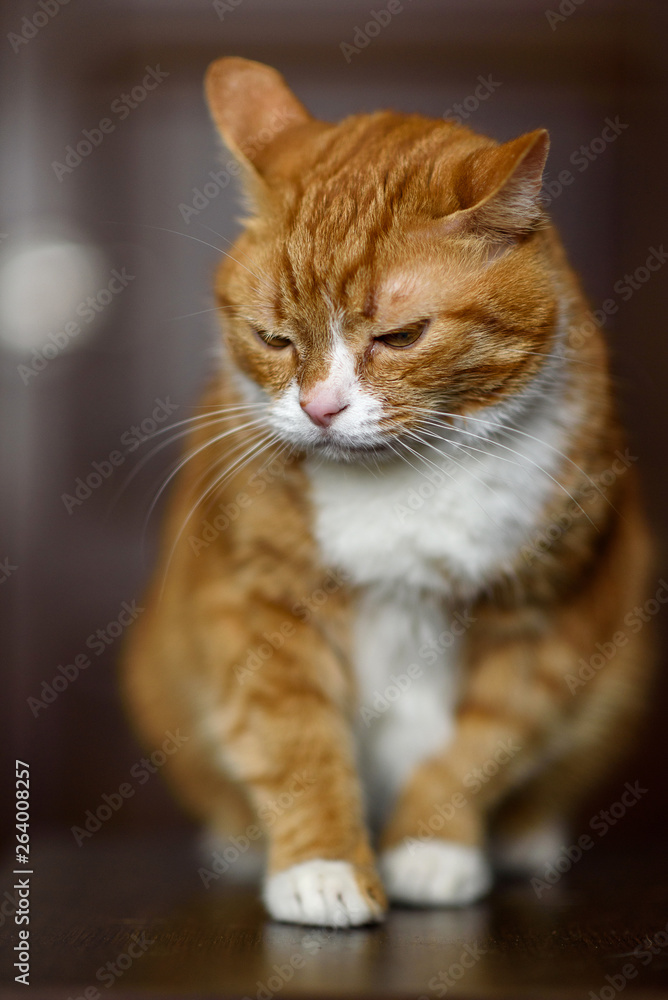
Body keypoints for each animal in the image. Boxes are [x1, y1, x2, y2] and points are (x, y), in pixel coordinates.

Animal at [120, 58, 652, 924]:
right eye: (274, 339)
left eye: (400, 337)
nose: (320, 408)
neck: (407, 480)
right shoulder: (260, 603)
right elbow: (295, 740)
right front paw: (323, 868)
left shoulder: (545, 622)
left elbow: (481, 748)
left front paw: (433, 851)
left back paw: (524, 840)